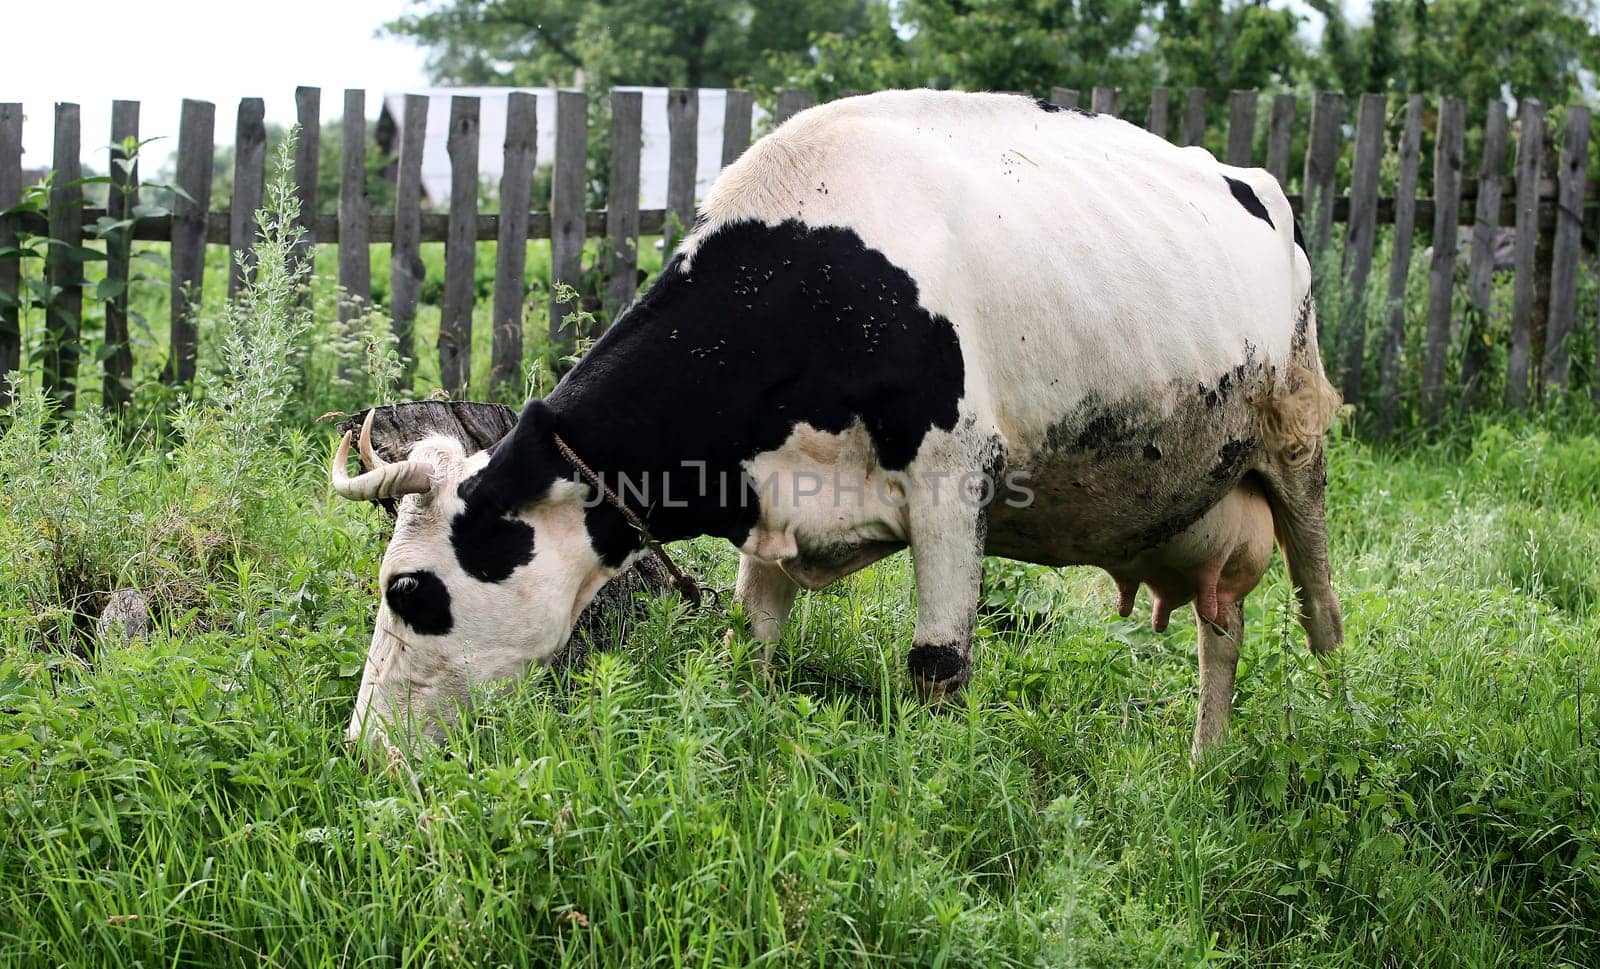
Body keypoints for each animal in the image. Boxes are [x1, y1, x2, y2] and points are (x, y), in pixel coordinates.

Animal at [331, 89, 1344, 761]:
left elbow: (938, 665)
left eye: (407, 591)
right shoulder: (774, 502)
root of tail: (1256, 180)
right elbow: (751, 651)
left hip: (1299, 450)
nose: (360, 743)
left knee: (1321, 621)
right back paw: (1205, 764)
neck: (810, 287)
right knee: (1222, 628)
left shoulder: (954, 481)